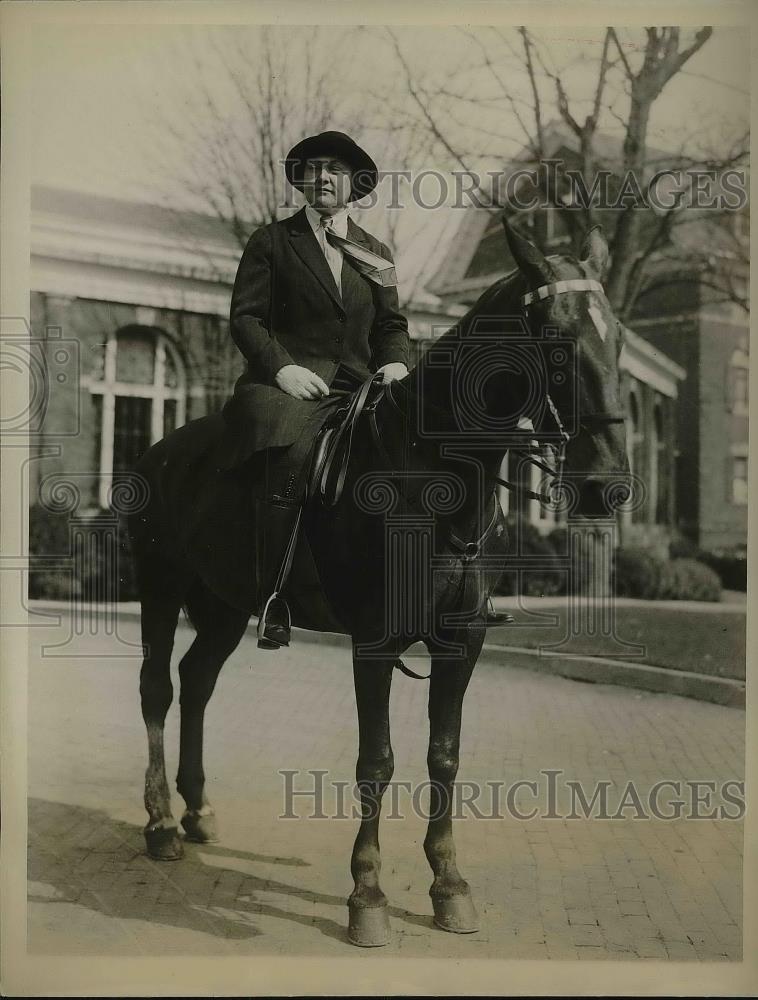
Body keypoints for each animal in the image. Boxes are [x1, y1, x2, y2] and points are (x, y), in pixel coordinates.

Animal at [129, 219, 628, 944]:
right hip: (161, 591)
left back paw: (197, 811)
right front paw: (367, 894)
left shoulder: (461, 644)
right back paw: (162, 822)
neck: (430, 474)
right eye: (557, 340)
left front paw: (449, 884)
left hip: (224, 605)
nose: (606, 486)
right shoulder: (374, 644)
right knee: (158, 692)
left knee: (196, 684)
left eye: (618, 336)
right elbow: (378, 761)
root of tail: (158, 450)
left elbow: (444, 755)